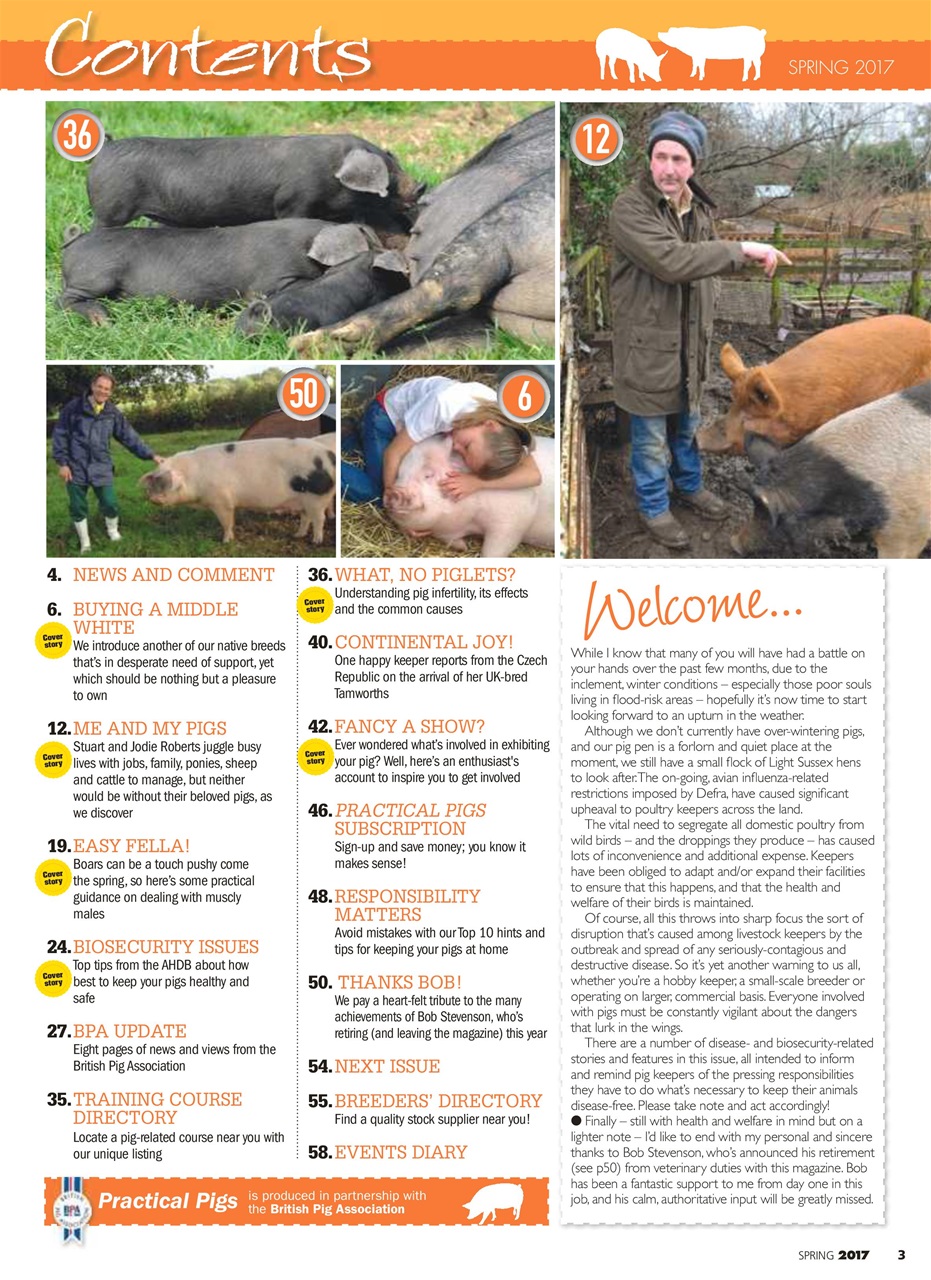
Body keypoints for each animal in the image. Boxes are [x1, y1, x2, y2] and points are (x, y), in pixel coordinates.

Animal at [59, 219, 377, 324]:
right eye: (375, 243)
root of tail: (75, 241)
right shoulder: (269, 281)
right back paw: (102, 319)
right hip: (97, 274)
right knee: (62, 299)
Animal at [87, 134, 421, 233]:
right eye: (388, 174)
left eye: (393, 158)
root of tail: (105, 149)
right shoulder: (292, 202)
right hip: (109, 210)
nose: (420, 187)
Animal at [140, 436, 337, 543]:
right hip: (303, 500)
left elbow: (227, 522)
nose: (152, 498)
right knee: (306, 519)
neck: (194, 476)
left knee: (319, 519)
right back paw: (297, 535)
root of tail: (330, 455)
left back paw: (316, 541)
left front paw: (225, 541)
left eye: (165, 483)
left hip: (316, 497)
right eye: (154, 482)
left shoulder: (222, 501)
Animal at [384, 436, 554, 558]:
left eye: (428, 475)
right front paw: (464, 547)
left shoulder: (513, 517)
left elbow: (494, 550)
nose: (394, 492)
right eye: (399, 474)